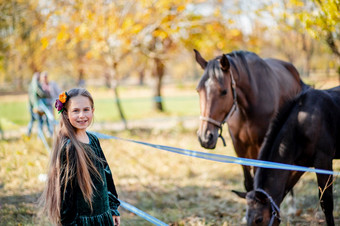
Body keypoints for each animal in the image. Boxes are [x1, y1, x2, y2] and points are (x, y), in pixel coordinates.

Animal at [195, 49, 306, 191]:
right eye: (198, 90)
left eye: (224, 92)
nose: (205, 137)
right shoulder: (239, 145)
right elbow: (249, 183)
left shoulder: (262, 145)